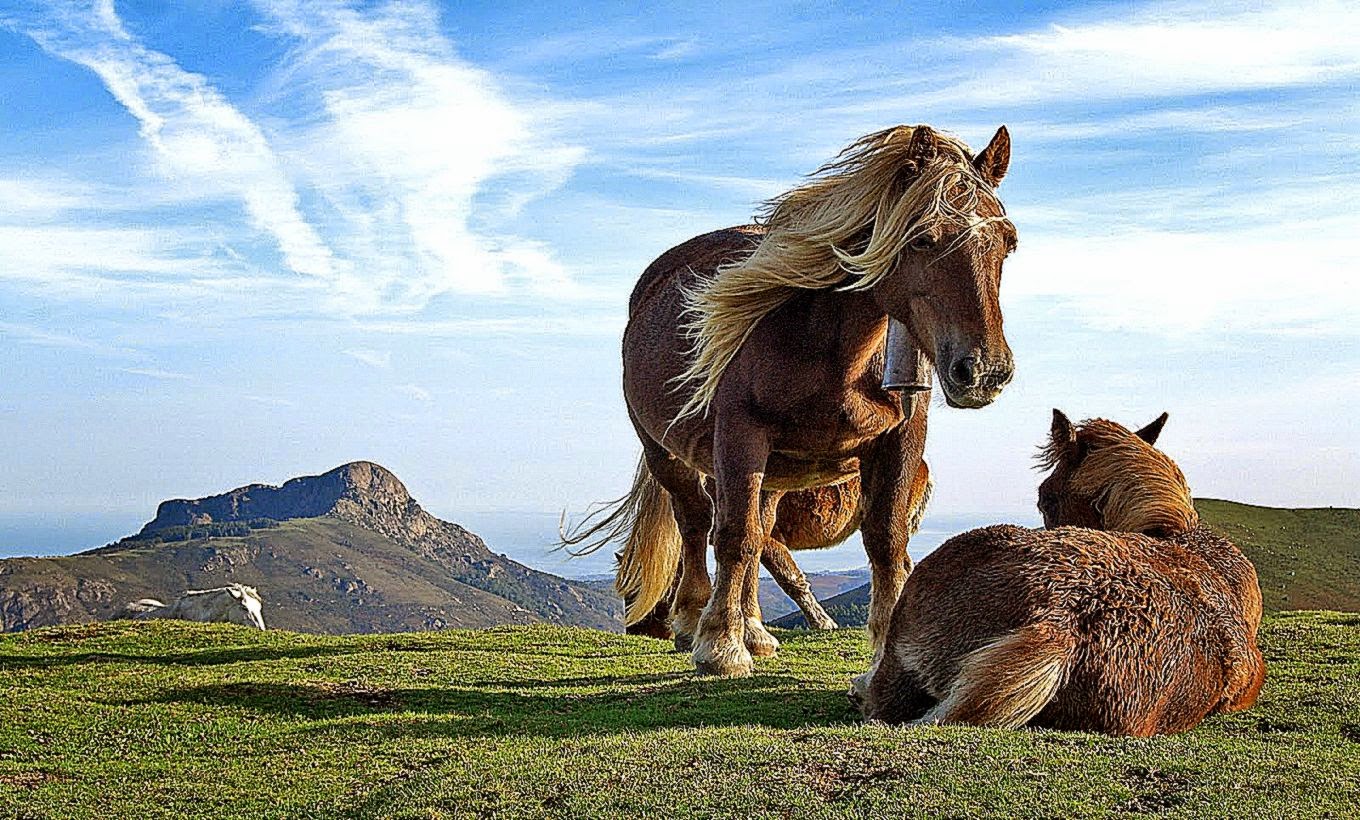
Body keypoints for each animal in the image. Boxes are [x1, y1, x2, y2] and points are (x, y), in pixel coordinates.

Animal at [564, 123, 1018, 676]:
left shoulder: (901, 440)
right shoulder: (740, 437)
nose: (985, 371)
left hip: (775, 474)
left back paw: (756, 630)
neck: (835, 352)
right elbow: (733, 537)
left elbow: (886, 542)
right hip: (668, 452)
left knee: (759, 531)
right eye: (924, 237)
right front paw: (720, 647)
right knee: (697, 523)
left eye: (1007, 243)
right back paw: (695, 620)